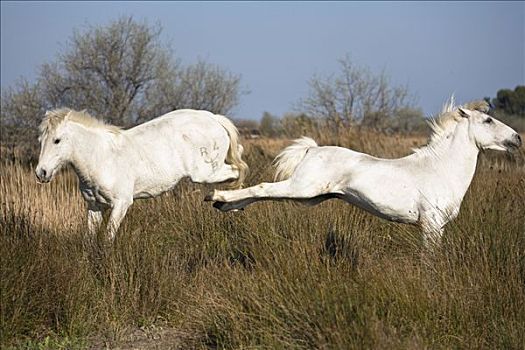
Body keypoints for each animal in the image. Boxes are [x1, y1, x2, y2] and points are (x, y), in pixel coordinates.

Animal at [35, 108, 249, 238]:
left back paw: (232, 204)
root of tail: (213, 118)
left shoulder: (121, 204)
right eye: (40, 140)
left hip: (206, 173)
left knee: (238, 169)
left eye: (57, 140)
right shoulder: (94, 206)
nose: (41, 173)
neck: (101, 158)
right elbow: (89, 239)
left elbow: (108, 237)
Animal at [208, 98, 520, 246]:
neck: (439, 170)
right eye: (488, 120)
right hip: (303, 188)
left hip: (309, 195)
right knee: (262, 188)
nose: (517, 138)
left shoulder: (438, 227)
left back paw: (225, 206)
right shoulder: (431, 225)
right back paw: (217, 197)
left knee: (264, 194)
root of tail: (312, 150)